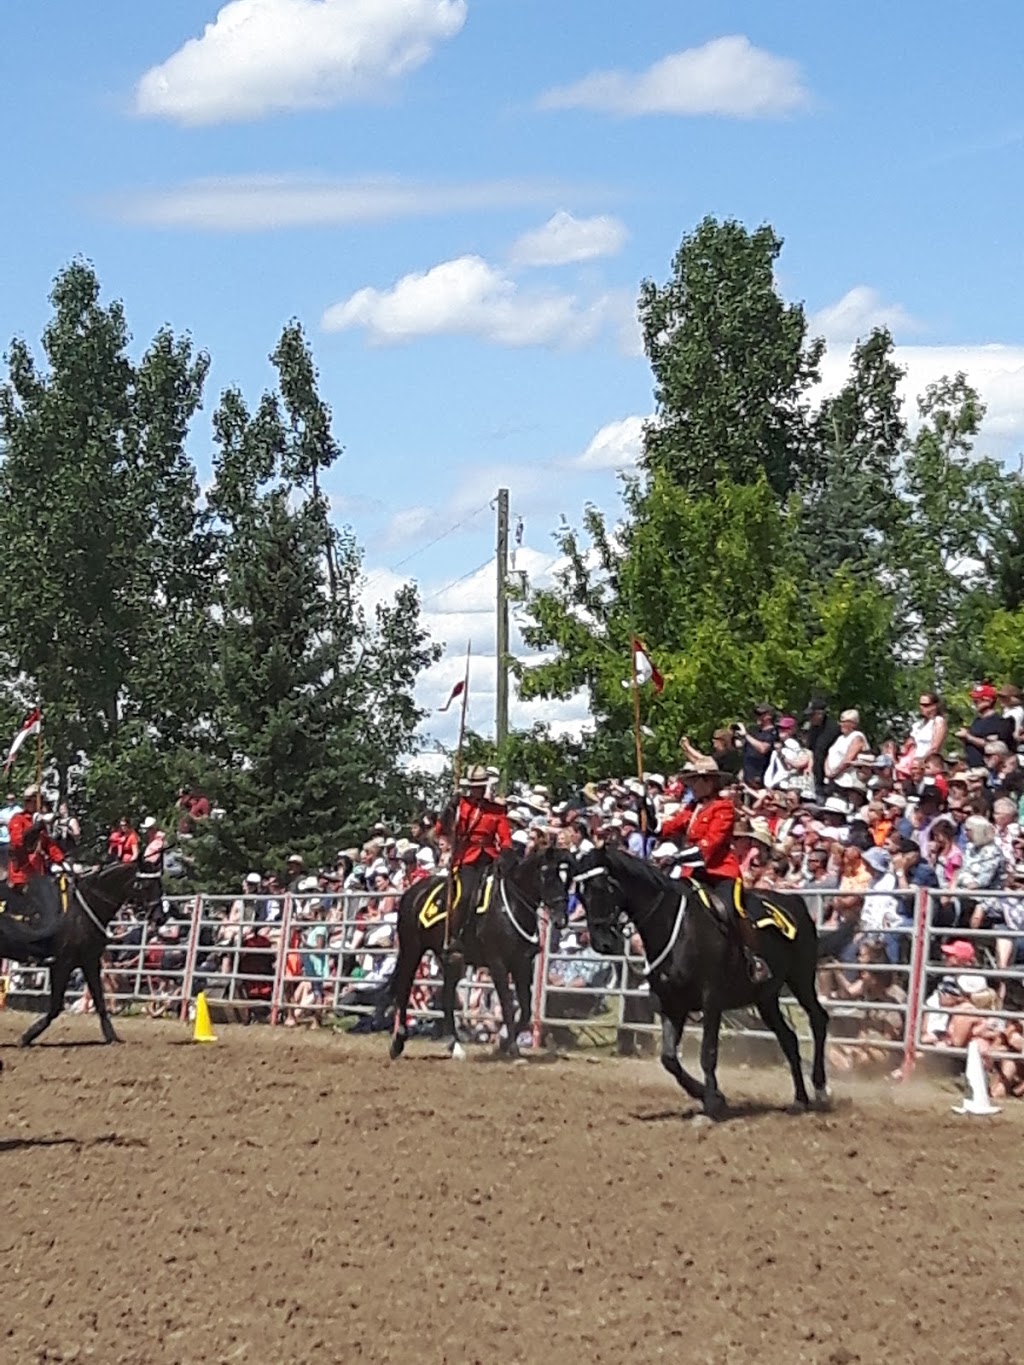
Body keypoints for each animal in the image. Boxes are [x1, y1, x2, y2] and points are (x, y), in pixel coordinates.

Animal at [3, 868, 138, 1048]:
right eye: (146, 883)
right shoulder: (62, 965)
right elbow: (55, 1007)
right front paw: (27, 1036)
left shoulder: (90, 962)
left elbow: (99, 1000)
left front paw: (111, 1036)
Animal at [387, 846, 573, 1059]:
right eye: (546, 874)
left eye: (566, 877)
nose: (561, 918)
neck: (510, 906)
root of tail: (413, 891)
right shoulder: (497, 963)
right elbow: (507, 1005)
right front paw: (512, 1047)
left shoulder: (522, 964)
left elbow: (525, 1010)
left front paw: (502, 1044)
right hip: (412, 949)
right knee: (404, 988)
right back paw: (398, 1042)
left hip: (451, 961)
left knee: (447, 999)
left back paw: (454, 1045)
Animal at [578, 846, 857, 1124]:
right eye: (580, 893)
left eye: (604, 887)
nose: (601, 942)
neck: (677, 928)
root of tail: (796, 904)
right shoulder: (671, 1005)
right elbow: (669, 1058)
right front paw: (710, 1096)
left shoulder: (711, 1000)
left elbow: (708, 1053)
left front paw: (713, 1103)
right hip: (765, 998)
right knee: (788, 1038)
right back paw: (799, 1100)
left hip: (800, 978)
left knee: (818, 1020)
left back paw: (820, 1090)